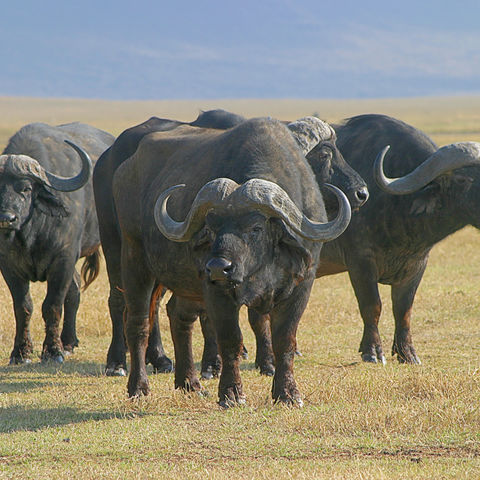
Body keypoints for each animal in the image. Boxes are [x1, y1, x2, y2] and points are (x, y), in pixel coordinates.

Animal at [0, 121, 115, 364]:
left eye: (26, 188)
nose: (6, 218)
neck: (32, 233)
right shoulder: (8, 265)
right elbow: (23, 307)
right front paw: (20, 352)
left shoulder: (63, 258)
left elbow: (52, 305)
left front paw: (53, 352)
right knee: (76, 288)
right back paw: (69, 341)